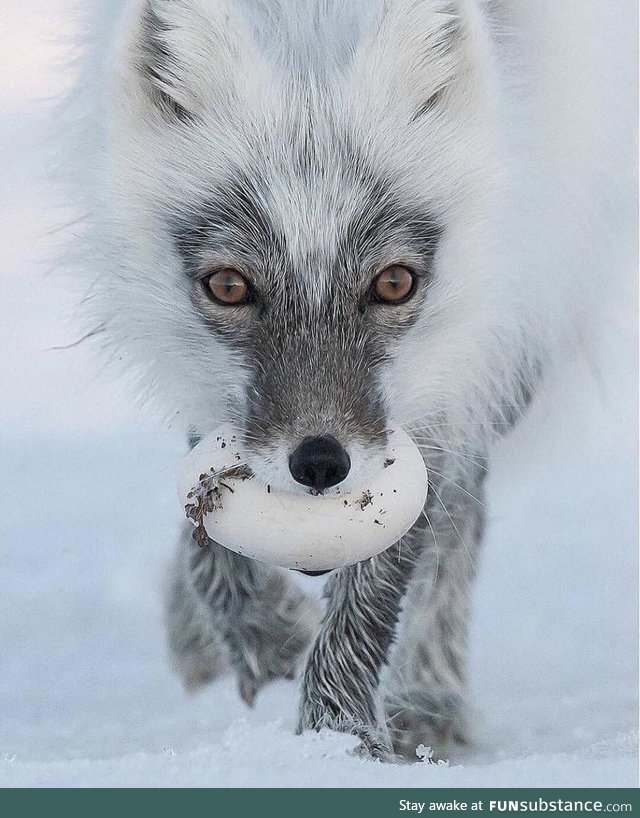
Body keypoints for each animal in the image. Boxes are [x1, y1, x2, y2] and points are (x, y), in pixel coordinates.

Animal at [61, 0, 636, 760]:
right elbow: (205, 518)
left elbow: (393, 568)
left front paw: (336, 742)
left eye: (394, 283)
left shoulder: (453, 367)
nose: (319, 464)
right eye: (228, 286)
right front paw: (266, 636)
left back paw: (427, 700)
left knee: (462, 518)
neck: (309, 20)